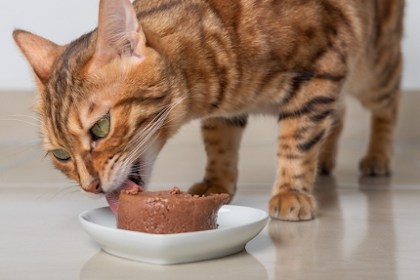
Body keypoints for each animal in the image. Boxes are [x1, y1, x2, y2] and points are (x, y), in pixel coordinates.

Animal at [14, 0, 406, 221]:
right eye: (61, 155)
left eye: (101, 127)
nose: (91, 186)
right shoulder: (226, 111)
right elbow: (219, 143)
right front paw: (217, 182)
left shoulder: (320, 72)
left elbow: (296, 141)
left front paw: (290, 192)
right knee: (339, 112)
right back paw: (327, 159)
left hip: (372, 66)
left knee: (388, 98)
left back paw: (378, 156)